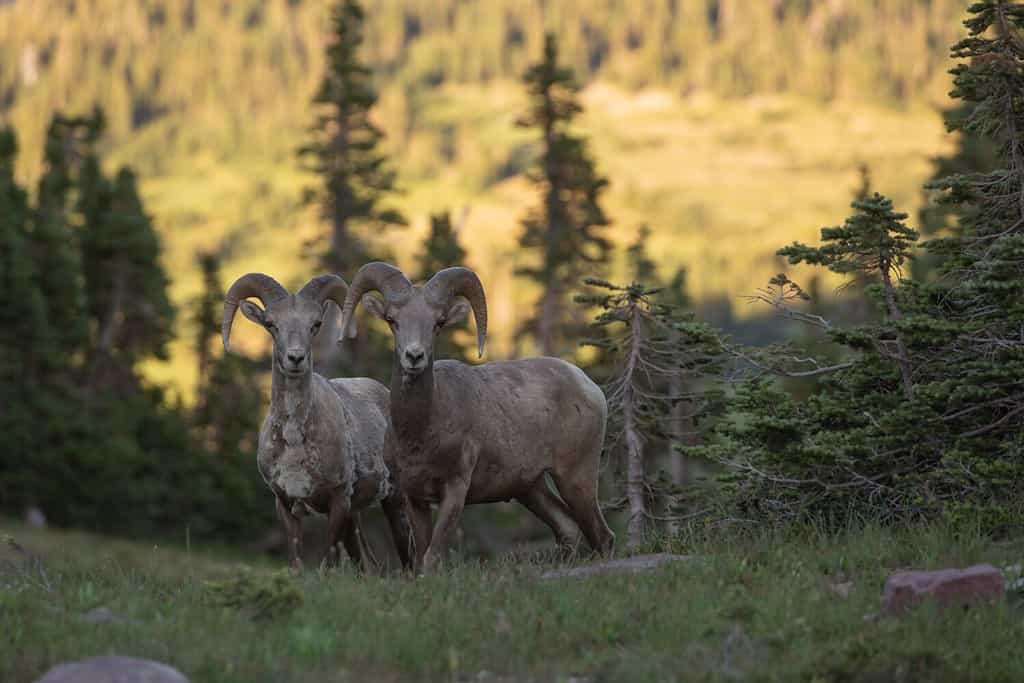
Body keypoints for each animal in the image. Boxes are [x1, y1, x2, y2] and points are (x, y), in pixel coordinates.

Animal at [222, 272, 414, 571]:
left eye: (315, 325)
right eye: (271, 324)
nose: (296, 358)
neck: (294, 442)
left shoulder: (338, 501)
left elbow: (328, 560)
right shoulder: (285, 504)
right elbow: (296, 560)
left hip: (395, 502)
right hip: (355, 519)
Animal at [337, 262, 614, 571]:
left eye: (438, 323)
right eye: (391, 320)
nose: (414, 356)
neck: (421, 431)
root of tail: (589, 385)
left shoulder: (455, 490)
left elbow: (433, 557)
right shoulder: (414, 498)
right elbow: (421, 556)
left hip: (575, 479)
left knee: (602, 536)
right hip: (531, 489)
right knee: (568, 529)